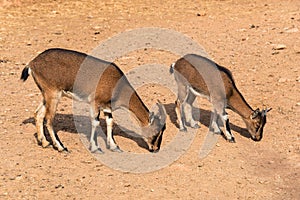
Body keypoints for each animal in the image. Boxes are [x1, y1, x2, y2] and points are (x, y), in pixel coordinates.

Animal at [20, 48, 166, 153]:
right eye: (157, 131)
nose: (155, 149)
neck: (116, 83)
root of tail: (32, 63)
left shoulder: (107, 107)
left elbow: (109, 123)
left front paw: (114, 147)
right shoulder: (94, 103)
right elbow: (95, 123)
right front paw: (96, 148)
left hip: (47, 95)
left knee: (38, 114)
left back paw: (45, 143)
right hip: (53, 94)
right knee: (49, 120)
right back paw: (62, 147)